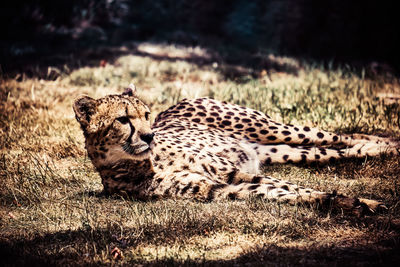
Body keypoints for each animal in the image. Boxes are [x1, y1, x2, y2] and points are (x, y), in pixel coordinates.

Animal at [74, 85, 396, 215]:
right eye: (123, 119)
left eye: (146, 114)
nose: (150, 135)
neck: (145, 161)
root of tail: (182, 101)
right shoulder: (219, 189)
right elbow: (281, 193)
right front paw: (348, 204)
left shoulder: (233, 173)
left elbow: (293, 187)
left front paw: (362, 201)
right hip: (278, 150)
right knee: (337, 149)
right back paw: (379, 147)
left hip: (269, 128)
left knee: (334, 135)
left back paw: (389, 142)